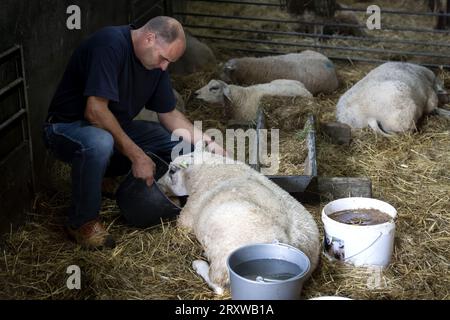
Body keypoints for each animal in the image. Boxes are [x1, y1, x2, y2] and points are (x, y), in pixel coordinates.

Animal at [158, 148, 320, 296]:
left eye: (171, 171)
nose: (158, 184)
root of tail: (291, 242)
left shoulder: (188, 215)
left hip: (223, 257)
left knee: (219, 287)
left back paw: (199, 264)